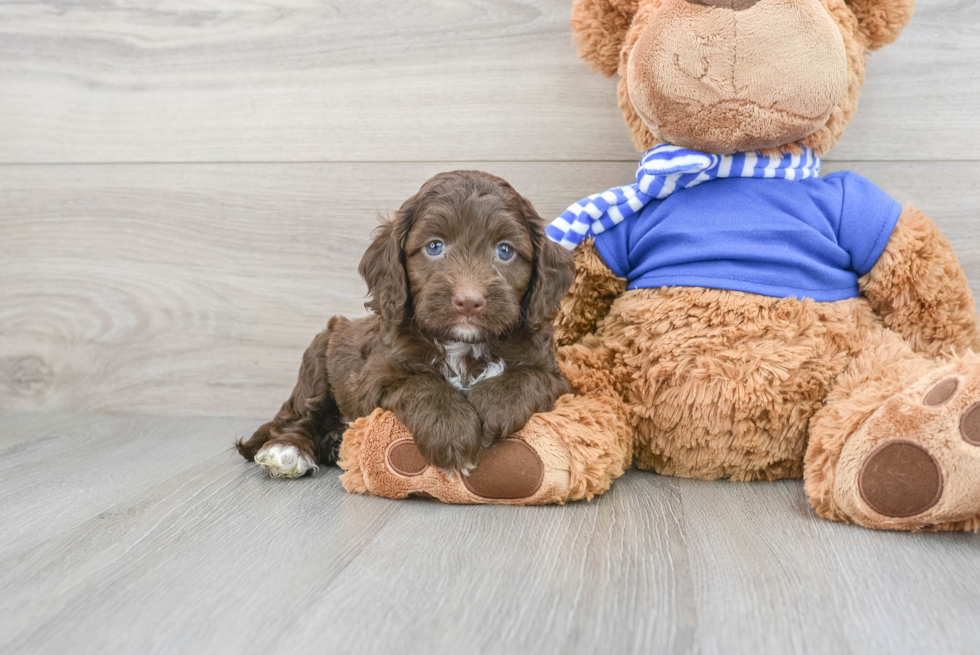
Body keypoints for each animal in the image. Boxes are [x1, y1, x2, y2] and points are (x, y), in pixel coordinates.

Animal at [236, 170, 576, 476]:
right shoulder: (374, 375)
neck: (462, 343)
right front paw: (451, 431)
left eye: (505, 250)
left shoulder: (553, 372)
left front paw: (494, 405)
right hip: (317, 359)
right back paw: (287, 450)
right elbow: (420, 383)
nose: (468, 301)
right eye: (434, 246)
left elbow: (528, 376)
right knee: (300, 415)